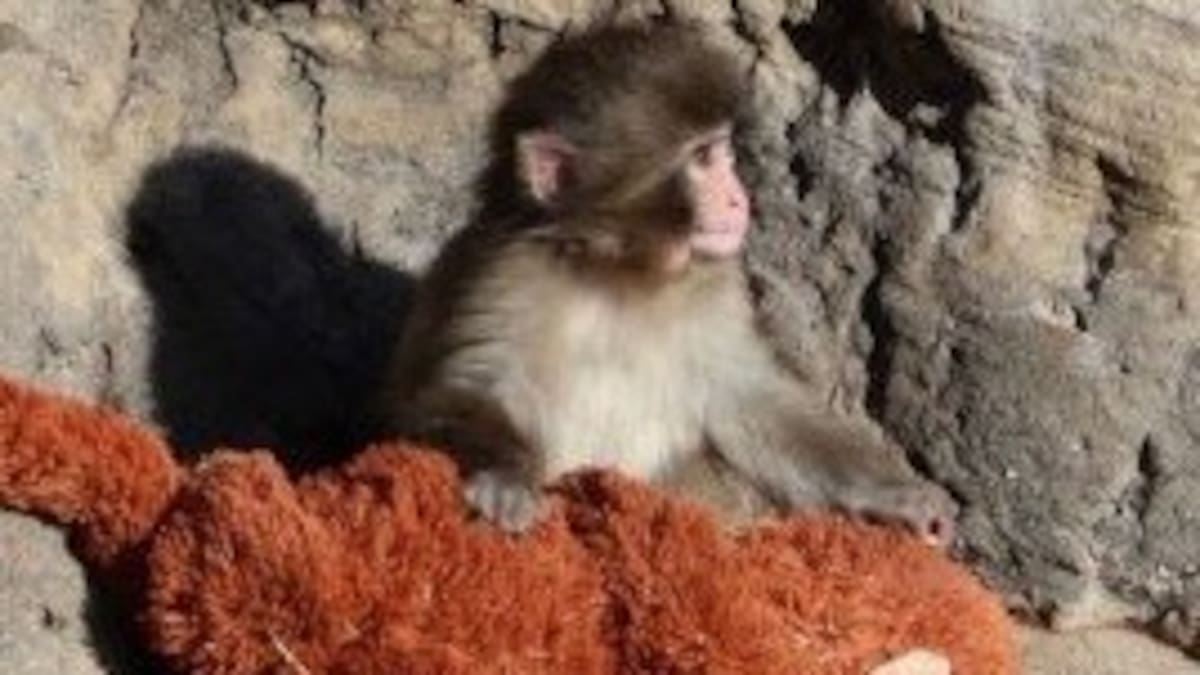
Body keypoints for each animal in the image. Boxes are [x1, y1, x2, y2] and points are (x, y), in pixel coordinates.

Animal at [378, 22, 957, 545]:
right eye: (702, 160)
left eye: (722, 152)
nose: (738, 197)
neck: (619, 274)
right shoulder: (504, 277)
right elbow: (456, 390)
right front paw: (507, 476)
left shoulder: (716, 291)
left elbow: (752, 402)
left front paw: (899, 496)